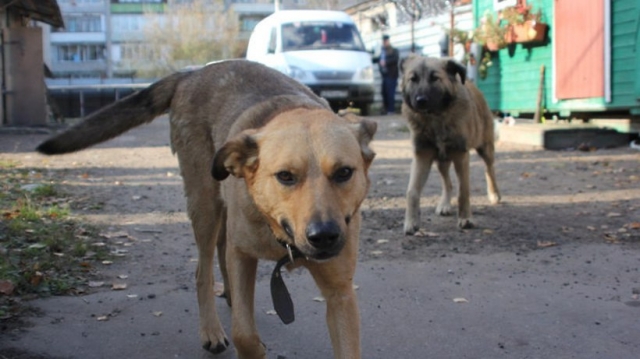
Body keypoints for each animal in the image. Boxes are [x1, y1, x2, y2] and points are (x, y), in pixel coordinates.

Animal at [36, 60, 376, 358]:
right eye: (285, 176)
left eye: (344, 173)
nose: (325, 236)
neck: (280, 236)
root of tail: (192, 73)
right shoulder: (243, 255)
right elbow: (243, 334)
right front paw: (249, 345)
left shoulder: (340, 293)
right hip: (204, 205)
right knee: (203, 270)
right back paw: (212, 330)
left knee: (222, 254)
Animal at [400, 54, 500, 232]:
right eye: (413, 79)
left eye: (435, 78)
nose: (420, 100)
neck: (435, 118)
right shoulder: (421, 156)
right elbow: (412, 191)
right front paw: (411, 222)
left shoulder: (461, 156)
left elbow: (464, 191)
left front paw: (466, 218)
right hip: (442, 160)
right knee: (448, 183)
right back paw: (445, 204)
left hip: (485, 148)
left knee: (489, 170)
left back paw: (494, 193)